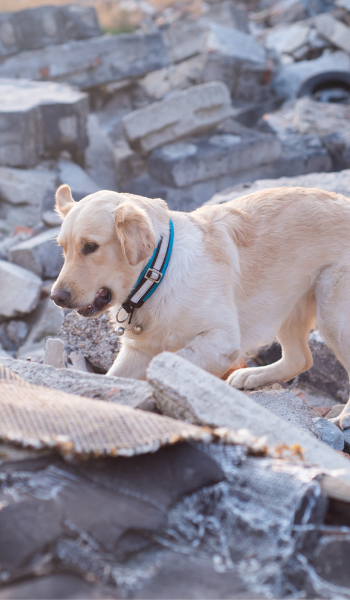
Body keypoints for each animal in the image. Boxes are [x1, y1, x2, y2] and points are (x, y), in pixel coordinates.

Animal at [51, 185, 350, 428]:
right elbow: (114, 377)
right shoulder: (137, 351)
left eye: (91, 246)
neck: (158, 274)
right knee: (300, 359)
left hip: (332, 315)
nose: (56, 297)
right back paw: (253, 376)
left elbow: (166, 364)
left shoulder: (220, 341)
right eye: (62, 248)